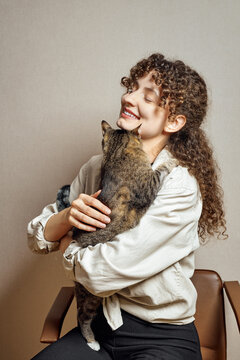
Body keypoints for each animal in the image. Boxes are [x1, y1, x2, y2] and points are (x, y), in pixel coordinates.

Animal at [71, 120, 176, 348]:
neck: (117, 154)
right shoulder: (151, 183)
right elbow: (161, 170)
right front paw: (171, 161)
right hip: (92, 295)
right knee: (82, 316)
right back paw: (91, 341)